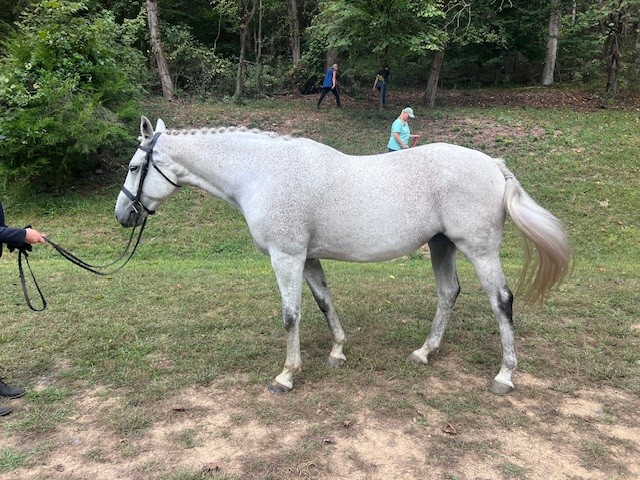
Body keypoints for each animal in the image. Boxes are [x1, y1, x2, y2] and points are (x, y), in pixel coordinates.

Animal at [115, 116, 571, 395]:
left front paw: (286, 375)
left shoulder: (286, 256)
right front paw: (337, 351)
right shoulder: (307, 257)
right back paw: (424, 352)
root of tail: (493, 164)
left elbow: (291, 314)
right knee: (448, 293)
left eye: (136, 167)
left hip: (479, 250)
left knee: (501, 302)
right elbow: (323, 302)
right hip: (441, 245)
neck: (263, 173)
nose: (123, 214)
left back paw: (504, 375)